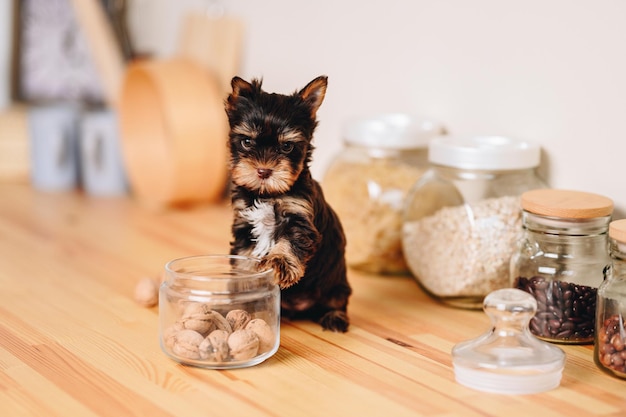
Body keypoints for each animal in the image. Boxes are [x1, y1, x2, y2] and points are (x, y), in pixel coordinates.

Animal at [224, 73, 352, 330]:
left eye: (286, 146)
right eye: (247, 142)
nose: (263, 171)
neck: (267, 192)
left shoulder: (298, 216)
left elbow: (289, 242)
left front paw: (279, 263)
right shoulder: (244, 224)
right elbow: (244, 255)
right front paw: (244, 286)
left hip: (335, 283)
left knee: (337, 299)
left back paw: (334, 317)